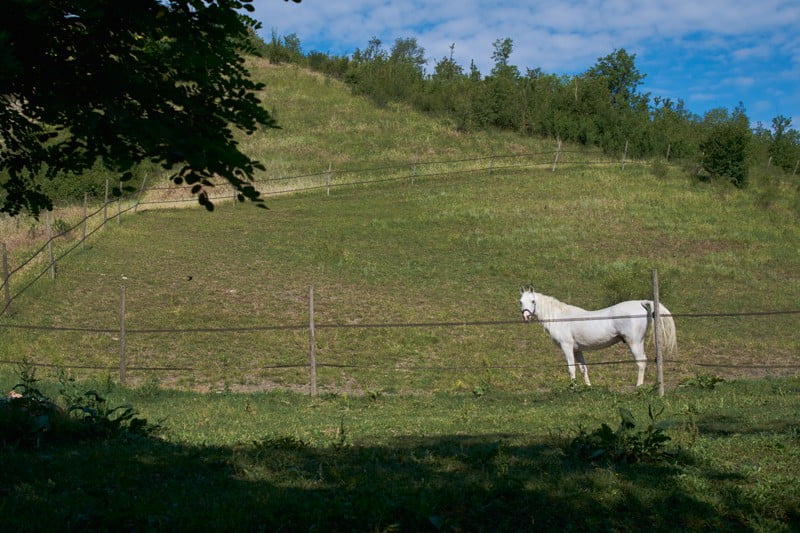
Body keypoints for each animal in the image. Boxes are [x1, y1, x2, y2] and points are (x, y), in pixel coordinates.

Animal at [519, 287, 676, 387]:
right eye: (520, 301)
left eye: (533, 301)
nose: (526, 316)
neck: (560, 317)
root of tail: (640, 303)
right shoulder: (577, 350)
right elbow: (583, 368)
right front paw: (588, 386)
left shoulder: (567, 346)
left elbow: (571, 368)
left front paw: (572, 387)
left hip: (635, 342)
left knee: (641, 362)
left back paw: (639, 385)